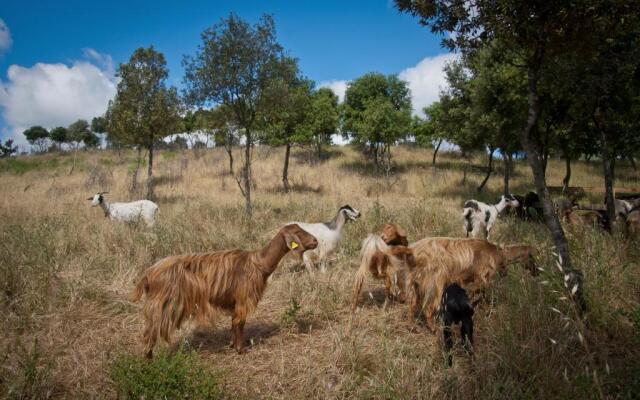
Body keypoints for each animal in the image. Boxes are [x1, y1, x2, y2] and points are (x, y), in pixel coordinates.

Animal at [131, 223, 320, 358]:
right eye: (299, 232)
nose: (315, 241)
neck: (259, 263)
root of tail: (148, 273)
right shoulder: (243, 299)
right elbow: (240, 323)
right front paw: (240, 349)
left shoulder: (234, 301)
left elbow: (234, 323)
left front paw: (233, 345)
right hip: (163, 303)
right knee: (151, 329)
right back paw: (149, 358)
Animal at [408, 238, 536, 332]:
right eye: (532, 257)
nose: (536, 272)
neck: (498, 252)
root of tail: (414, 250)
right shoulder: (481, 277)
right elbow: (478, 291)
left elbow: (483, 295)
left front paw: (487, 310)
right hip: (436, 282)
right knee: (428, 308)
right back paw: (435, 328)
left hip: (415, 284)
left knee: (412, 305)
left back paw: (413, 326)